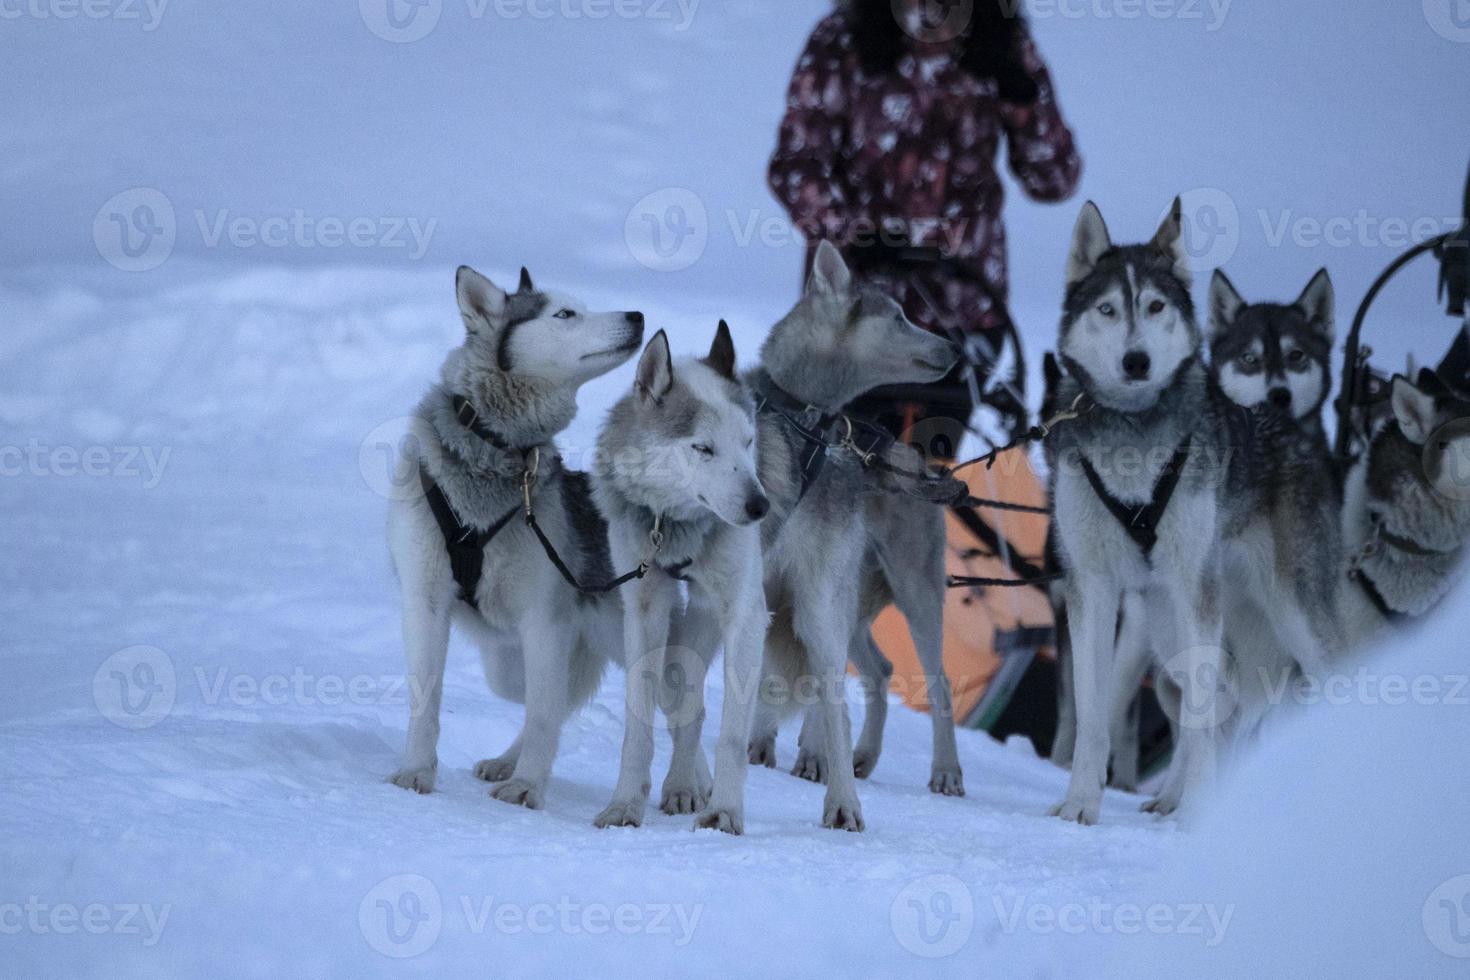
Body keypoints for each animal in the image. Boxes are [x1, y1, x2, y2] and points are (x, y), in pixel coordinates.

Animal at [388, 264, 646, 811]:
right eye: (566, 314)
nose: (637, 315)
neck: (492, 447)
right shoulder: (425, 601)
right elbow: (428, 699)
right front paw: (417, 770)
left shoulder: (544, 621)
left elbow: (544, 713)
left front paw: (528, 784)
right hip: (513, 661)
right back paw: (506, 759)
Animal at [588, 326, 776, 834]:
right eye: (703, 448)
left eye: (749, 441)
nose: (760, 507)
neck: (674, 527)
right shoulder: (644, 610)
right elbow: (640, 726)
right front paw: (624, 805)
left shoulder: (745, 616)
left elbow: (732, 735)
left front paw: (725, 813)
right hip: (690, 626)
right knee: (686, 706)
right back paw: (680, 786)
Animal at [746, 240, 964, 834]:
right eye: (900, 316)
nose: (955, 346)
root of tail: (916, 461)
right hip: (846, 605)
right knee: (879, 670)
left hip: (906, 598)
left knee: (934, 684)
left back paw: (938, 771)